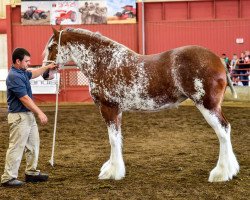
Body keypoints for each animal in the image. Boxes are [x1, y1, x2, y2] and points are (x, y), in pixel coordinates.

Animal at [42, 27, 239, 182]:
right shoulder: (117, 111)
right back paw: (231, 170)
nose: (45, 74)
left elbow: (112, 139)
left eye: (51, 47)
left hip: (208, 106)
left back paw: (221, 173)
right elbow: (117, 138)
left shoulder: (109, 108)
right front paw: (113, 168)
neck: (104, 62)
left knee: (223, 131)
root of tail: (218, 60)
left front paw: (112, 172)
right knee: (226, 129)